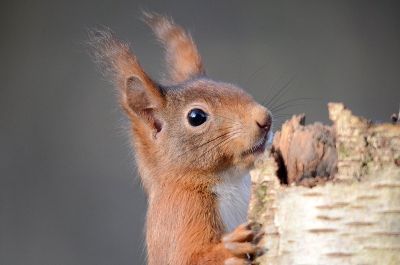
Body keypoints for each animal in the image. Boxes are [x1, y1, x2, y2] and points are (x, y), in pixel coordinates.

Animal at [89, 12, 274, 264]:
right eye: (196, 117)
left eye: (236, 89)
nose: (265, 119)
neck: (229, 180)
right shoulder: (181, 212)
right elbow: (188, 258)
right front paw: (231, 248)